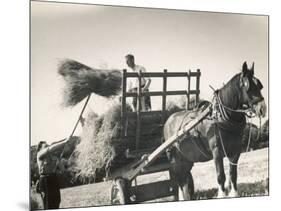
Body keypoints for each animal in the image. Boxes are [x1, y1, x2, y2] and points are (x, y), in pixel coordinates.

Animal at [163, 61, 266, 200]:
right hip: (174, 158)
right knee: (178, 178)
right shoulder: (216, 151)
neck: (221, 117)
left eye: (260, 85)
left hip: (186, 158)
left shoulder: (236, 150)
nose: (263, 109)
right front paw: (222, 194)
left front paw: (234, 194)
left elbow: (233, 174)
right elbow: (220, 176)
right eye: (248, 87)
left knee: (185, 178)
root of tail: (168, 120)